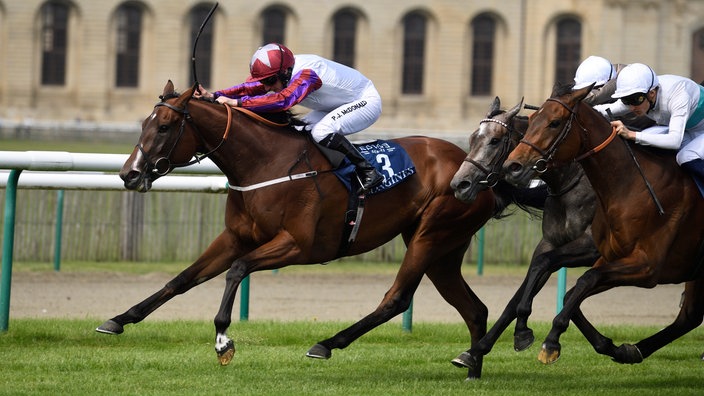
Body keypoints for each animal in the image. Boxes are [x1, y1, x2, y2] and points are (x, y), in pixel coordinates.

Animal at [97, 79, 500, 374]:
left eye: (164, 127)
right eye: (144, 124)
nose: (129, 173)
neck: (266, 164)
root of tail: (475, 172)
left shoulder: (298, 244)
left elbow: (237, 270)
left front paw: (223, 340)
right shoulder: (235, 237)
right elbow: (182, 279)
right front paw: (119, 319)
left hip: (430, 235)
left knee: (396, 299)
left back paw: (326, 344)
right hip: (444, 252)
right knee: (475, 310)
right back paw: (471, 368)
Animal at [448, 96, 596, 378]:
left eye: (495, 140)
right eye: (472, 139)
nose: (459, 184)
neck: (572, 181)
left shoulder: (592, 248)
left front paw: (528, 334)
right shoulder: (551, 245)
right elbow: (520, 293)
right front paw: (475, 351)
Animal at [500, 83, 704, 366]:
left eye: (554, 122)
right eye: (531, 121)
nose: (512, 166)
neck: (628, 185)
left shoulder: (647, 266)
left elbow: (587, 279)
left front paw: (551, 341)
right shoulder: (610, 256)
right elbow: (568, 288)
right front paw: (523, 330)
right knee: (689, 317)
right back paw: (634, 350)